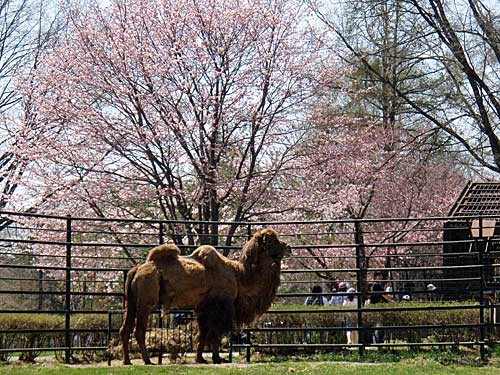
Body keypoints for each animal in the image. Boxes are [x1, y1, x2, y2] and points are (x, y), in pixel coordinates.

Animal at [119, 228, 292, 366]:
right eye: (272, 241)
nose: (288, 247)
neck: (240, 276)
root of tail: (136, 270)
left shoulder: (202, 308)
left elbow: (202, 334)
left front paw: (200, 359)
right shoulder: (219, 307)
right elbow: (215, 333)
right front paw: (217, 358)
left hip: (131, 303)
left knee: (125, 329)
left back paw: (127, 361)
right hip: (146, 302)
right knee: (139, 330)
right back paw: (147, 360)